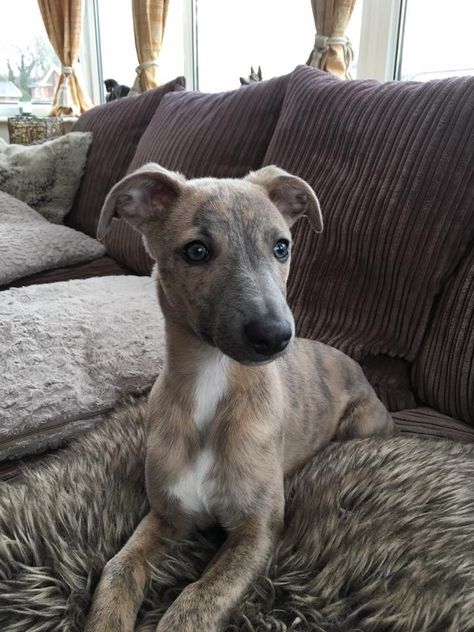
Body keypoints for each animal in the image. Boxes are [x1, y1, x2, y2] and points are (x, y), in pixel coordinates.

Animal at [85, 164, 392, 632]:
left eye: (281, 246)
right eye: (196, 251)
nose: (276, 336)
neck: (212, 384)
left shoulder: (259, 529)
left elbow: (199, 599)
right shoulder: (168, 514)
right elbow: (118, 568)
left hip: (361, 425)